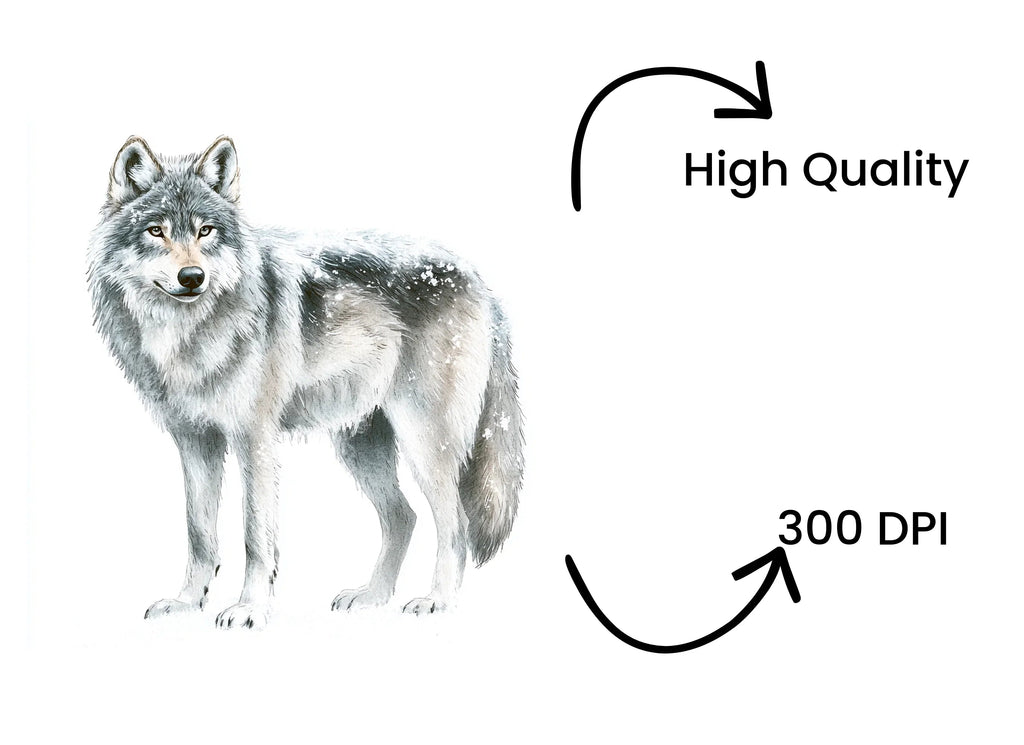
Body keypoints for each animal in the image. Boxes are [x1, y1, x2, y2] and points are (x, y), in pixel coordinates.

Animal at [87, 136, 523, 629]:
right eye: (156, 231)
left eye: (206, 231)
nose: (192, 277)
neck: (187, 335)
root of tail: (479, 281)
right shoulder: (194, 441)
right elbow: (199, 533)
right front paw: (186, 603)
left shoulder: (254, 440)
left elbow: (256, 536)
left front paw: (250, 608)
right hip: (360, 446)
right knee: (403, 518)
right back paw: (373, 597)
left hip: (424, 443)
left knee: (456, 525)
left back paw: (438, 601)